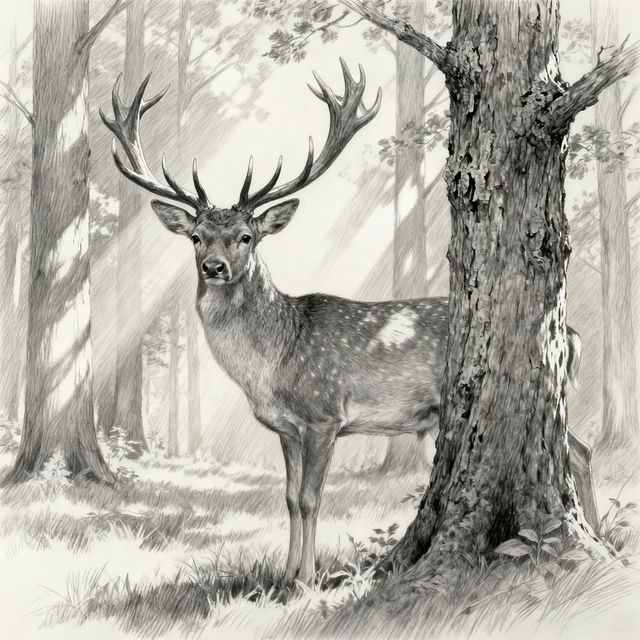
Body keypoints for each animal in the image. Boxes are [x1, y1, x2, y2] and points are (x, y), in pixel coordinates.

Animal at [101, 60, 596, 584]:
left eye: (246, 237)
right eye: (195, 236)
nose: (214, 267)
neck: (272, 362)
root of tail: (571, 333)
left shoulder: (324, 415)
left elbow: (310, 498)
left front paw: (306, 578)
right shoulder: (286, 428)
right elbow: (288, 498)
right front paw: (284, 575)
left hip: (537, 386)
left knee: (579, 452)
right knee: (581, 451)